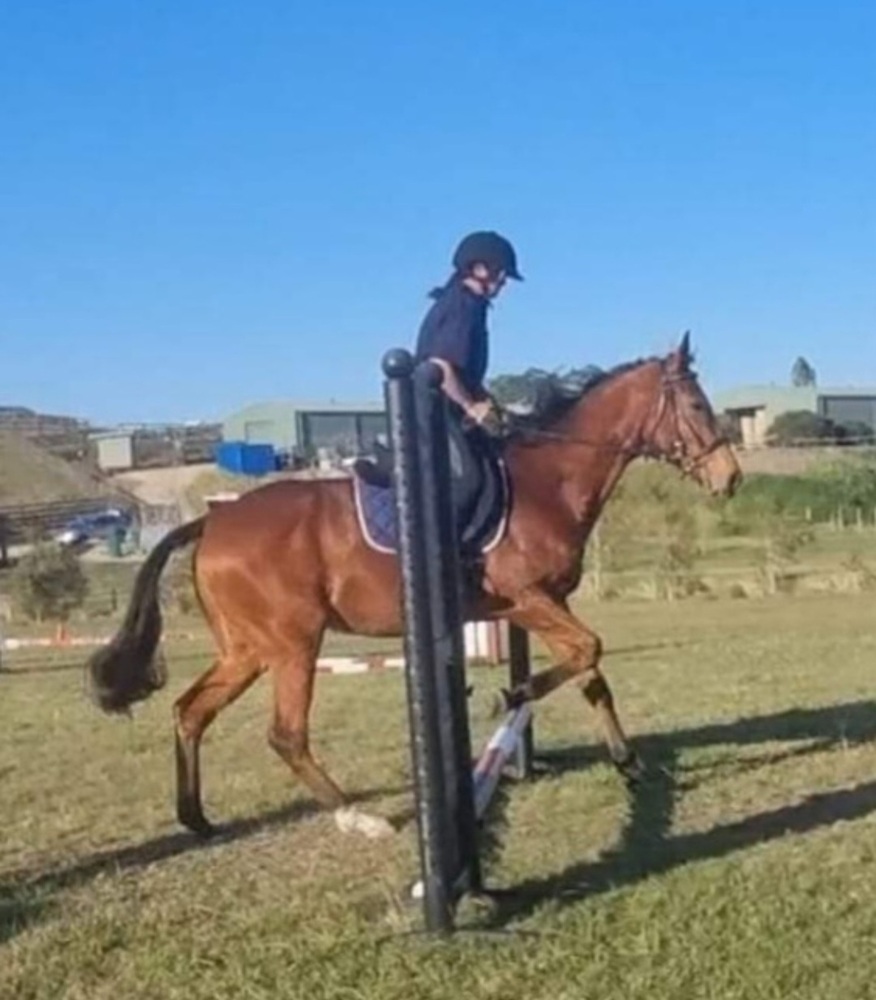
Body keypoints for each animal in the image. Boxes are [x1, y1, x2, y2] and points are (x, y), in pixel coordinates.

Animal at [88, 334, 741, 839]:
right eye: (696, 403)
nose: (730, 478)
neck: (549, 482)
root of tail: (213, 522)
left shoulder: (544, 603)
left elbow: (592, 674)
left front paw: (628, 762)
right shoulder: (526, 598)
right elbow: (589, 651)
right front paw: (511, 695)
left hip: (247, 649)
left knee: (190, 710)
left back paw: (196, 818)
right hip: (294, 644)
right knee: (286, 734)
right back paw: (360, 819)